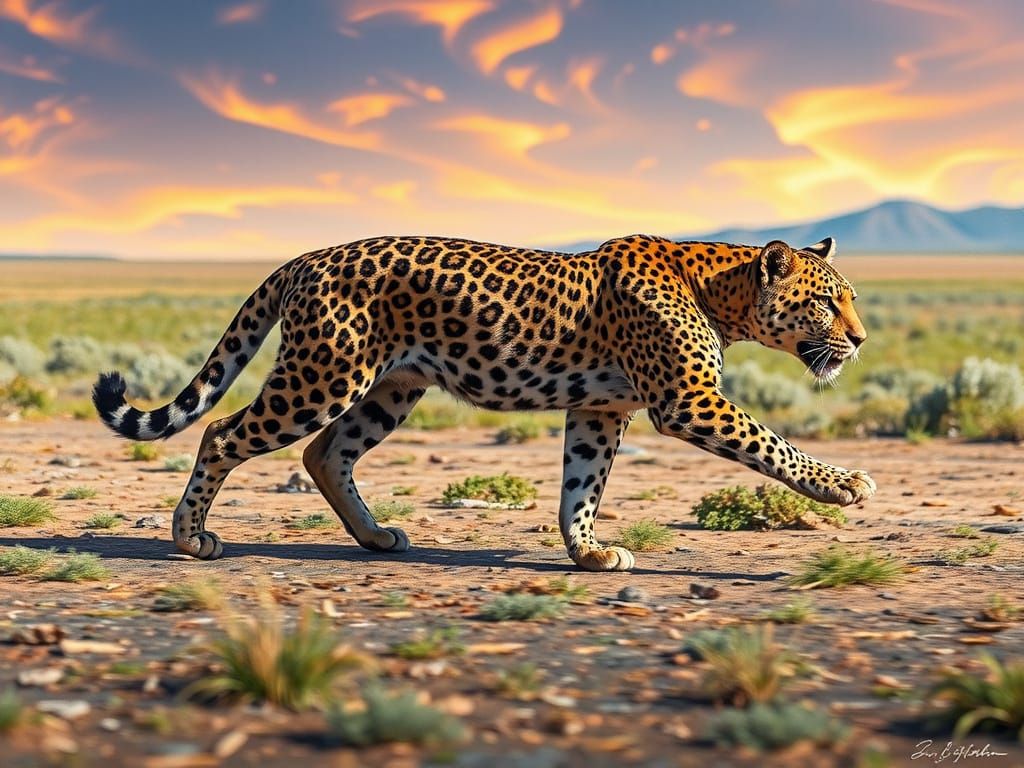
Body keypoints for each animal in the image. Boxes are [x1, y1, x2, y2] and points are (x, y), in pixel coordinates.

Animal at [93, 234, 874, 571]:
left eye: (852, 298)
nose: (861, 339)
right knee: (224, 434)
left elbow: (581, 486)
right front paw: (843, 485)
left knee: (325, 452)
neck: (722, 288)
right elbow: (775, 445)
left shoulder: (600, 412)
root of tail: (305, 257)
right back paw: (190, 538)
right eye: (826, 302)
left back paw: (375, 537)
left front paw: (587, 552)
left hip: (392, 387)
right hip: (324, 376)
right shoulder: (689, 400)